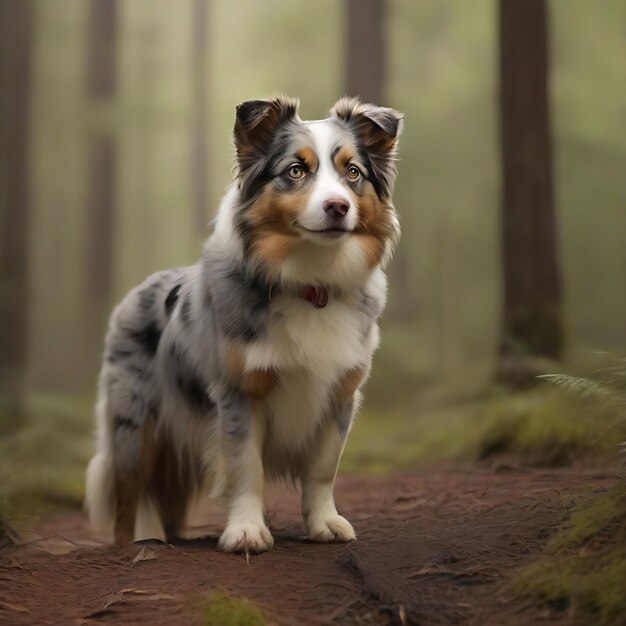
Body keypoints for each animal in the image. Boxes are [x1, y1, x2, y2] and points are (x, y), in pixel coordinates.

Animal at [85, 95, 402, 548]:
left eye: (353, 172)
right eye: (296, 170)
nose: (338, 207)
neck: (312, 285)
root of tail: (136, 291)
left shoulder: (340, 394)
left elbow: (323, 468)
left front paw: (325, 522)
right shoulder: (240, 393)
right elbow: (246, 467)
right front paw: (247, 530)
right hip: (135, 427)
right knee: (127, 499)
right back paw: (133, 544)